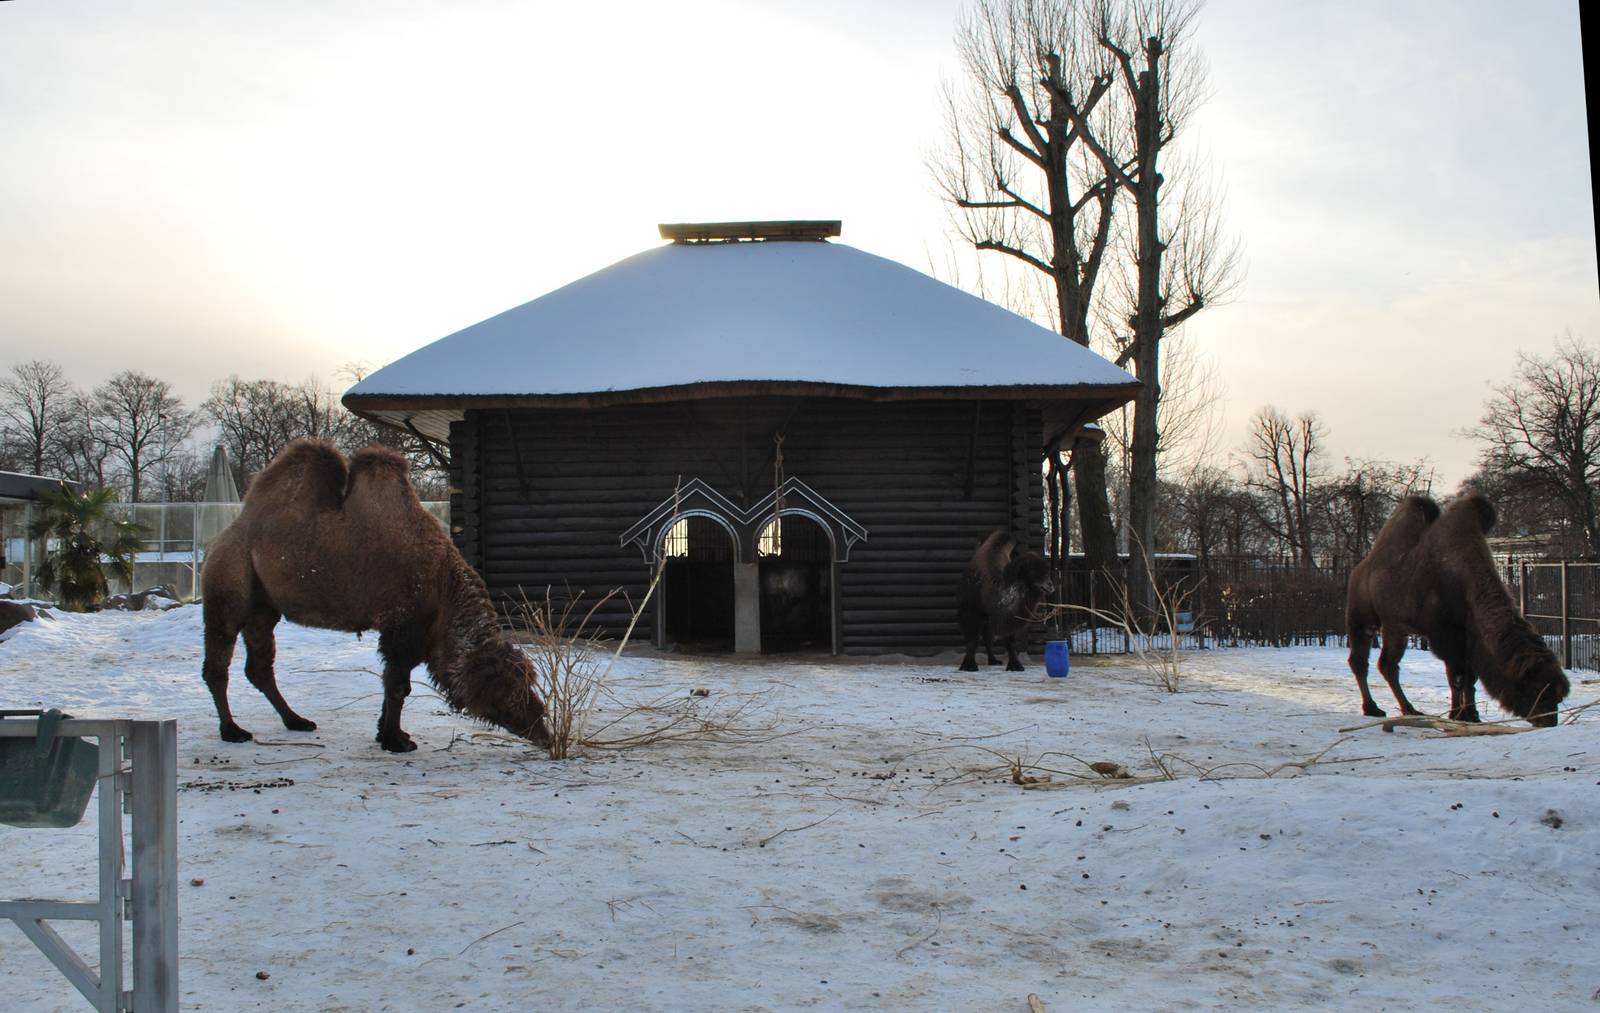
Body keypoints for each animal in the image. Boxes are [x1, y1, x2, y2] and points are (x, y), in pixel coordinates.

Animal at [201, 439, 550, 752]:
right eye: (511, 690)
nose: (541, 727)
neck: (442, 587)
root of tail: (223, 537)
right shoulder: (403, 626)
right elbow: (398, 686)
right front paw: (397, 742)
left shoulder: (407, 630)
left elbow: (390, 683)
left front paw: (389, 733)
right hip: (229, 584)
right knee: (219, 660)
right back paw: (232, 731)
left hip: (263, 607)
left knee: (259, 666)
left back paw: (297, 721)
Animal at [1346, 493, 1569, 727]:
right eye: (1535, 690)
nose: (1549, 721)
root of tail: (1359, 570)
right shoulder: (1446, 637)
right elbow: (1457, 677)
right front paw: (1460, 714)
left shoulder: (1468, 638)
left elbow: (1469, 678)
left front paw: (1470, 715)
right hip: (1365, 620)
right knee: (1364, 662)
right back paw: (1375, 708)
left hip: (1397, 629)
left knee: (1388, 665)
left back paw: (1408, 709)